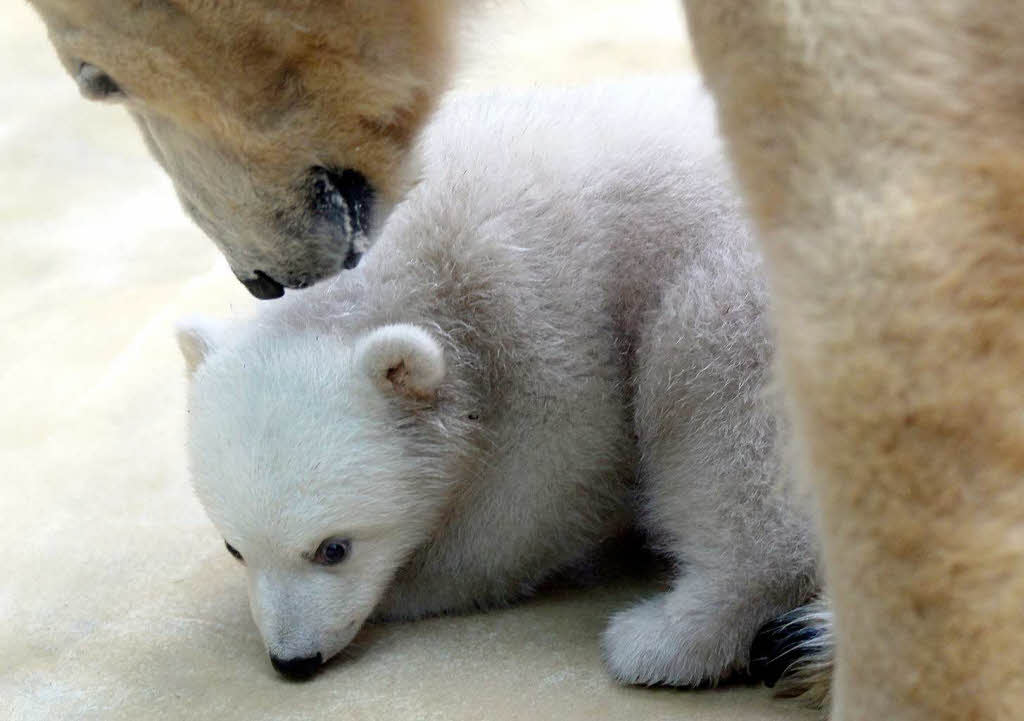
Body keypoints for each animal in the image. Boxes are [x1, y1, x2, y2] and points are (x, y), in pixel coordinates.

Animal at [28, 1, 1024, 721]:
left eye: (334, 545)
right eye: (235, 545)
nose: (293, 660)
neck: (420, 256)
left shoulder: (547, 309)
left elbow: (546, 485)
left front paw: (419, 582)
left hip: (737, 286)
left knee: (726, 432)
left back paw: (676, 638)